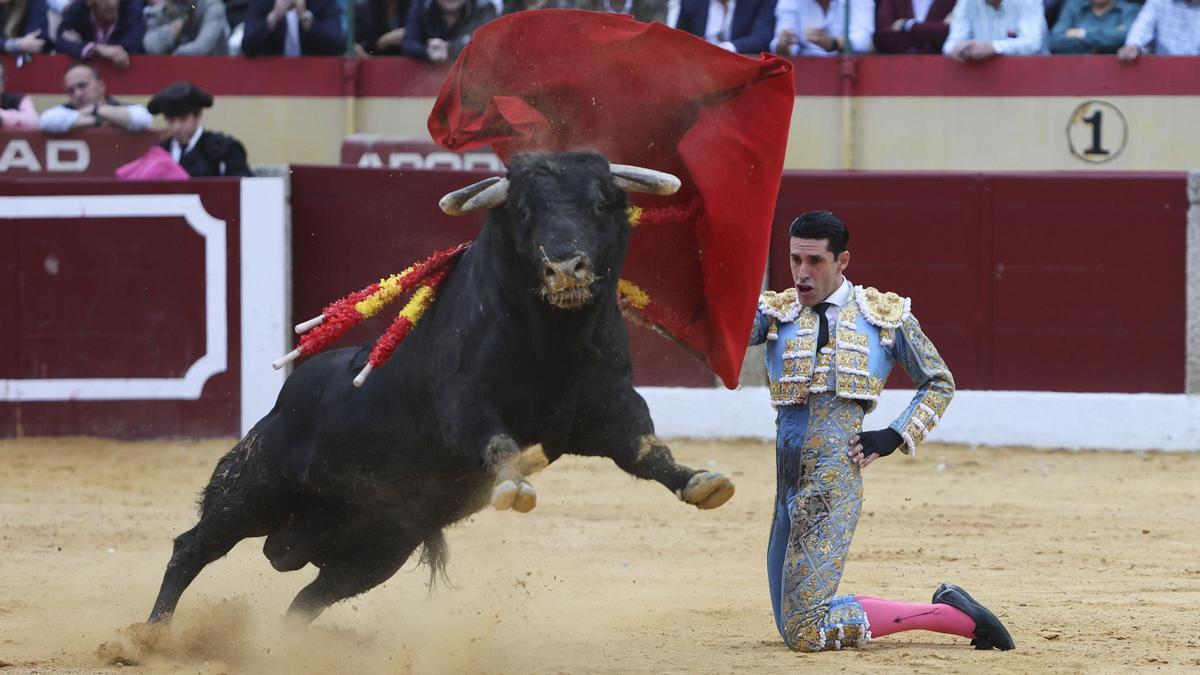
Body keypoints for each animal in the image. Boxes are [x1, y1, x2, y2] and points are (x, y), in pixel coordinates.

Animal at [146, 149, 734, 624]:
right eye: (524, 212)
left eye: (600, 204)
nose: (566, 268)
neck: (553, 340)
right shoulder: (466, 405)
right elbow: (497, 442)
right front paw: (514, 485)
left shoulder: (609, 407)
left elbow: (646, 448)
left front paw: (701, 482)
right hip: (256, 484)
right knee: (192, 546)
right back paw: (150, 636)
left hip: (377, 551)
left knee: (306, 601)